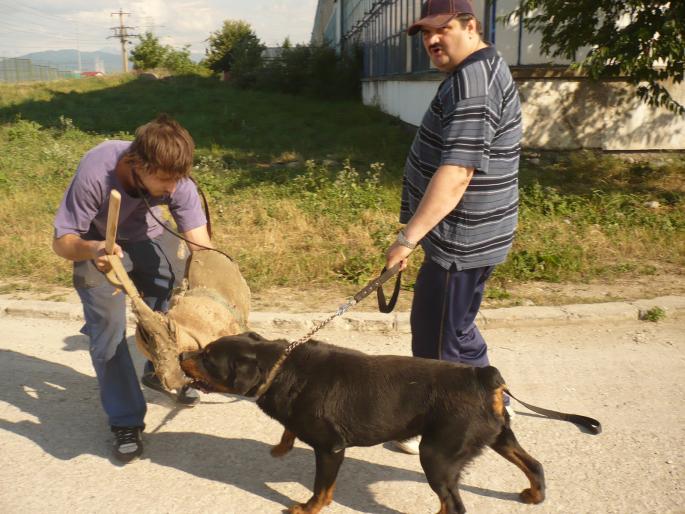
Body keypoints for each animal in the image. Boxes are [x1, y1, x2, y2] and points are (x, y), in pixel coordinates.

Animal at [180, 332, 544, 512]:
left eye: (207, 358)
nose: (182, 354)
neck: (282, 368)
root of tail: (483, 377)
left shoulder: (330, 448)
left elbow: (321, 488)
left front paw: (308, 509)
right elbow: (292, 433)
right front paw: (283, 445)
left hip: (437, 456)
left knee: (453, 505)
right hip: (498, 436)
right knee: (533, 464)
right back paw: (535, 494)